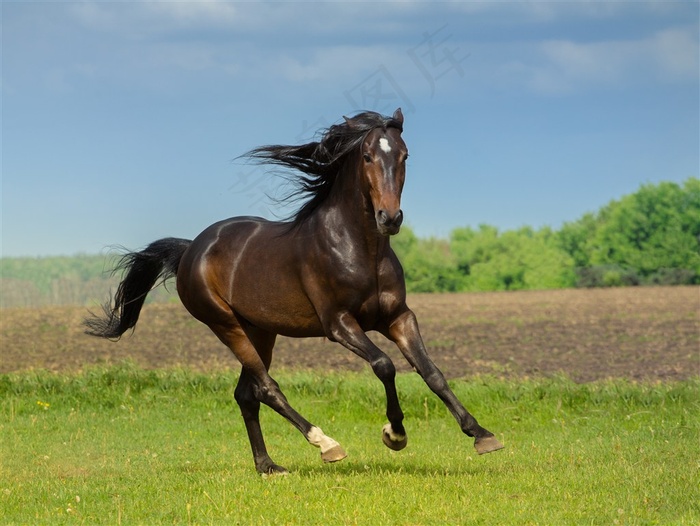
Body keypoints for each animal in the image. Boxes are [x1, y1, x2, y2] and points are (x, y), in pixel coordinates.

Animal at [86, 109, 504, 476]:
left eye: (404, 155)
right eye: (368, 156)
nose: (390, 218)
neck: (360, 249)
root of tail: (191, 249)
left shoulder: (399, 317)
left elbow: (432, 372)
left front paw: (482, 435)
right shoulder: (338, 324)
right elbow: (385, 365)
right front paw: (394, 435)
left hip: (260, 331)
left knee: (246, 394)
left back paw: (268, 466)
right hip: (225, 325)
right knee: (267, 388)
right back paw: (326, 444)